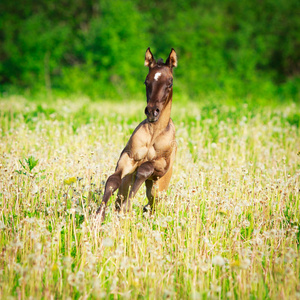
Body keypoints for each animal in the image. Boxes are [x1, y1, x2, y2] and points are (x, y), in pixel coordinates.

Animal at [96, 47, 177, 220]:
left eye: (170, 83)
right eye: (146, 81)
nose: (152, 111)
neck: (153, 134)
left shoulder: (162, 165)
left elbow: (145, 168)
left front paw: (127, 207)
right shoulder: (128, 158)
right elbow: (112, 181)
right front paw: (98, 216)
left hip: (158, 187)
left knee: (153, 204)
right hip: (129, 180)